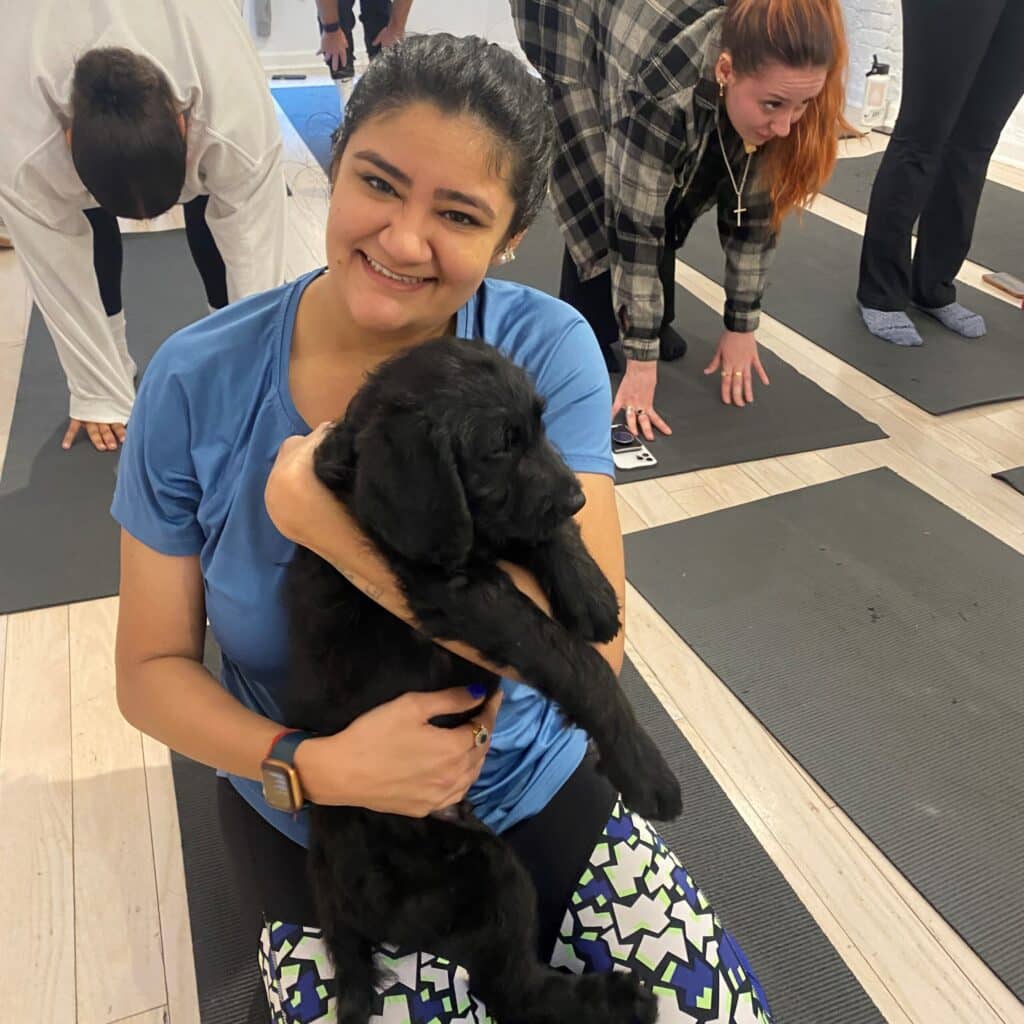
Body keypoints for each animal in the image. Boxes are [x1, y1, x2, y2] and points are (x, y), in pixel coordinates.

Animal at [284, 337, 679, 1024]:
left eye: (542, 426)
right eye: (499, 446)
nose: (577, 498)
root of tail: (340, 913)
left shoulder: (497, 535)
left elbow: (539, 535)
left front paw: (591, 592)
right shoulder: (458, 588)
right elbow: (571, 659)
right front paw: (645, 770)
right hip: (487, 874)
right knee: (513, 990)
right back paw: (617, 998)